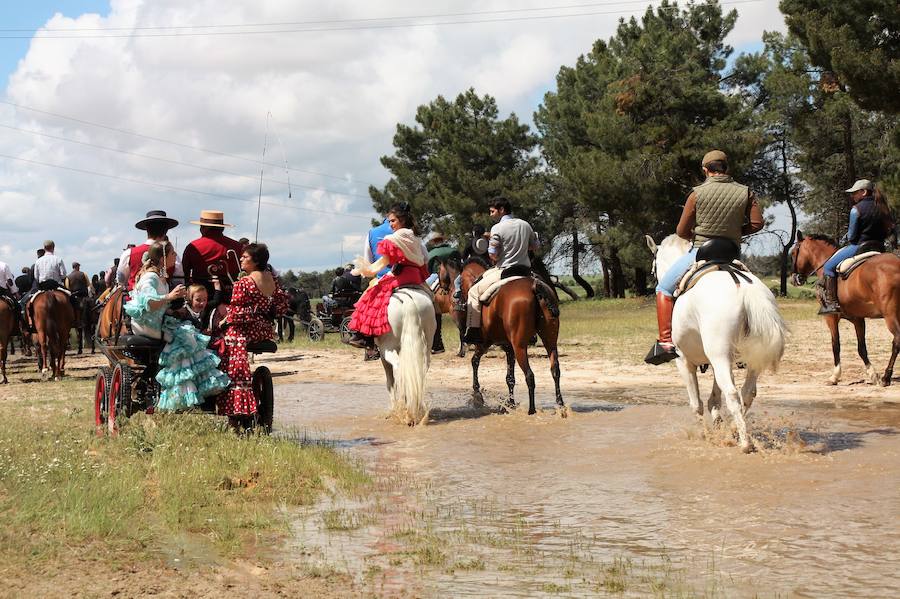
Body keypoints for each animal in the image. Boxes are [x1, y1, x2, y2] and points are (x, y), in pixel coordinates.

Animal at [376, 290, 440, 426]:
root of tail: (407, 299)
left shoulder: (383, 356)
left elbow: (390, 382)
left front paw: (393, 410)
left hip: (387, 348)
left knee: (399, 368)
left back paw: (406, 412)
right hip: (426, 343)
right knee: (420, 371)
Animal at [460, 260, 568, 414]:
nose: (457, 298)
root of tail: (534, 285)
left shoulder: (486, 343)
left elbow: (475, 361)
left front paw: (477, 396)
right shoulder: (508, 347)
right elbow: (510, 378)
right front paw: (510, 403)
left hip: (519, 347)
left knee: (529, 375)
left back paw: (531, 410)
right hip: (550, 342)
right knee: (555, 370)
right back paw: (560, 405)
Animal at [648, 232, 788, 452]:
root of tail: (746, 290)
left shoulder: (684, 361)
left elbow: (696, 404)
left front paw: (705, 434)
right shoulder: (718, 361)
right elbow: (714, 398)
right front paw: (718, 425)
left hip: (719, 356)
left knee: (732, 394)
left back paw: (745, 443)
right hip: (745, 359)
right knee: (747, 393)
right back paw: (735, 429)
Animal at [788, 232, 900, 386]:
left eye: (793, 253)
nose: (794, 279)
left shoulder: (831, 317)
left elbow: (836, 345)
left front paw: (834, 377)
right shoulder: (858, 318)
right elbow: (861, 348)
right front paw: (872, 375)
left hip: (890, 315)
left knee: (897, 340)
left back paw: (886, 377)